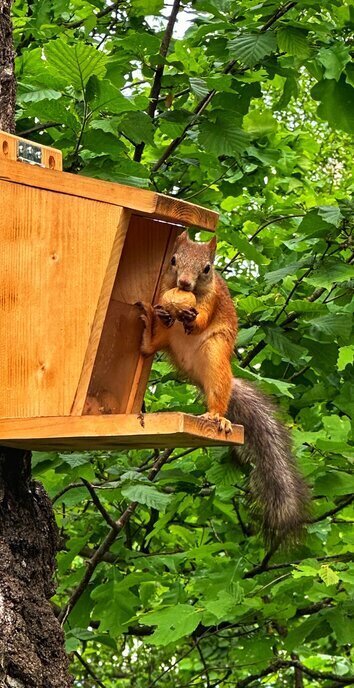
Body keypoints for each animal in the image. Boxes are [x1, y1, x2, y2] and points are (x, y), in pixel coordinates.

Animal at [137, 231, 308, 544]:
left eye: (207, 268)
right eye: (173, 260)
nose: (184, 284)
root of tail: (193, 370)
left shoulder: (213, 299)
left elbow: (203, 315)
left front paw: (191, 317)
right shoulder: (164, 288)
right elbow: (161, 302)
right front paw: (162, 310)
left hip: (215, 356)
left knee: (218, 391)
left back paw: (217, 417)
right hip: (167, 341)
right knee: (150, 346)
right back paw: (147, 330)